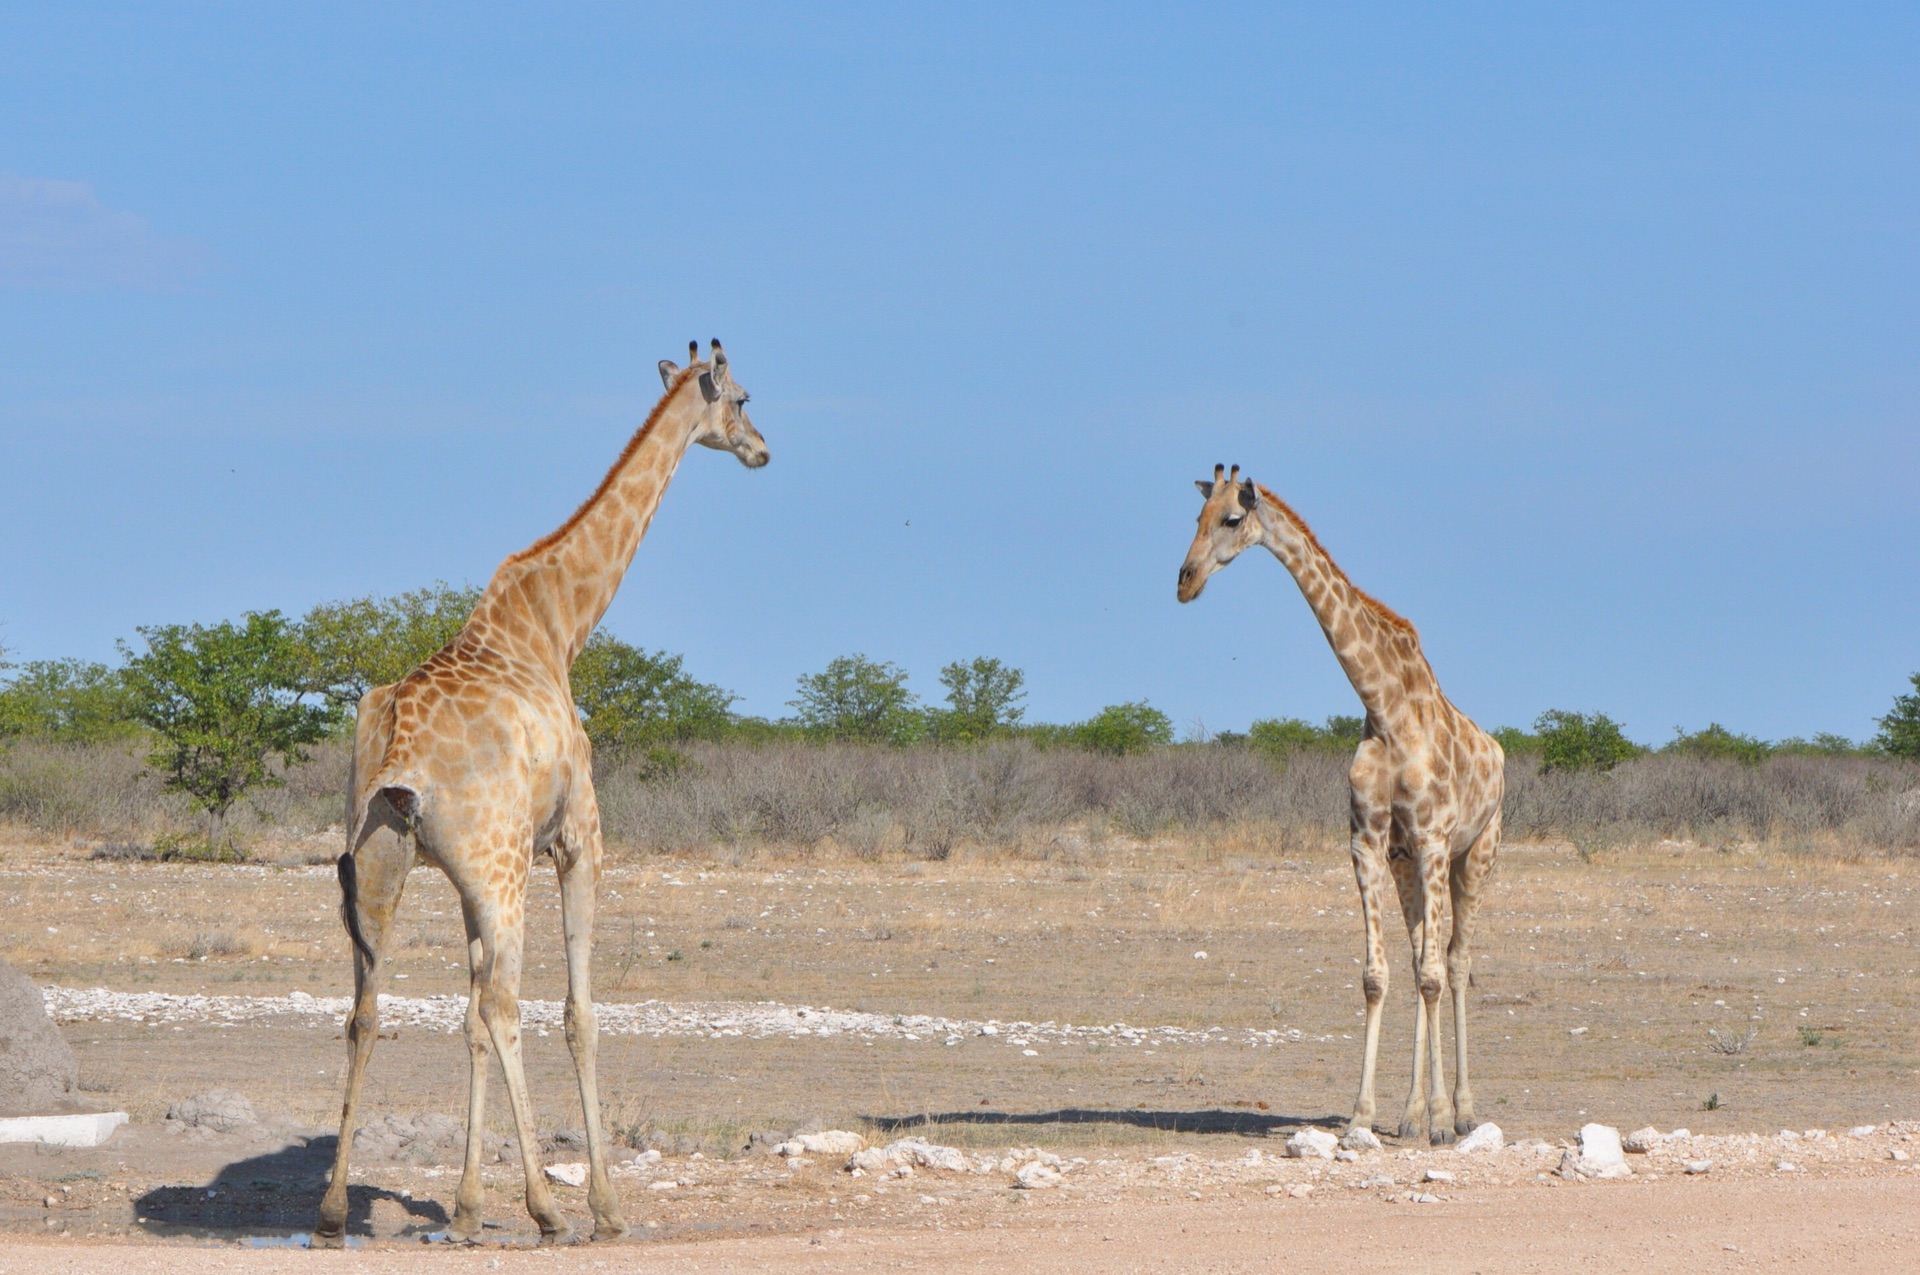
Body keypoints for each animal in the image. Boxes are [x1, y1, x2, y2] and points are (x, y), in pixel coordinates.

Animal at [312, 341, 764, 1244]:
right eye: (740, 397)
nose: (763, 449)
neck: (560, 624)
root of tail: (398, 745)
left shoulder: (464, 881)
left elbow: (462, 1017)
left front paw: (465, 1205)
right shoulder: (576, 839)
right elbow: (577, 1013)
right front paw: (603, 1205)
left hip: (379, 865)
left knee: (370, 1009)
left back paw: (333, 1207)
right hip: (499, 869)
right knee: (506, 1003)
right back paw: (549, 1207)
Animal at [1175, 462, 1505, 1136]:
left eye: (1232, 518)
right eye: (1194, 517)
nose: (1185, 581)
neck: (1385, 708)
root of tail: (1499, 752)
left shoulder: (1435, 839)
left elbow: (1436, 974)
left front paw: (1438, 1118)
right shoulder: (1370, 840)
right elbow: (1379, 976)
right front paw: (1366, 1114)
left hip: (1476, 854)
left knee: (1456, 964)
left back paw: (1459, 1113)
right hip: (1409, 867)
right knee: (1421, 959)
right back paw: (1411, 1114)